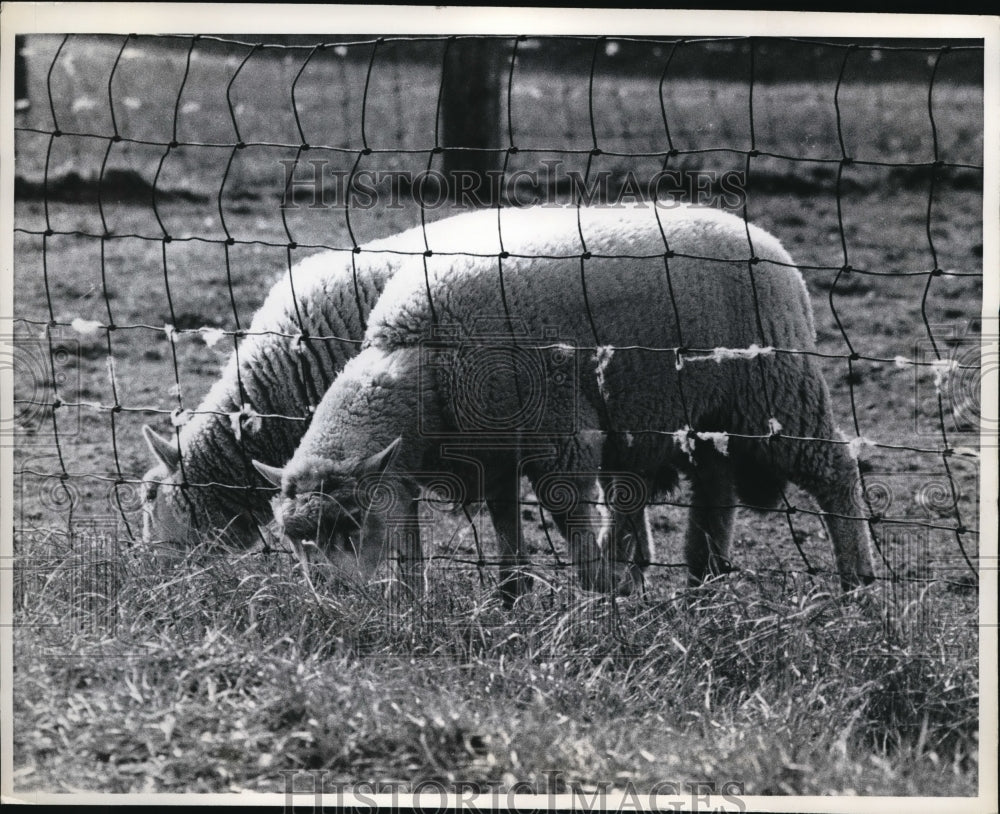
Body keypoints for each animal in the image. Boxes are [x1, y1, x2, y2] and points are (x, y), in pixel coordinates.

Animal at [256, 203, 877, 600]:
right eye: (295, 541)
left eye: (348, 525)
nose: (331, 600)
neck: (424, 357)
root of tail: (761, 237)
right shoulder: (482, 453)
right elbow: (487, 533)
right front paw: (485, 600)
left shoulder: (561, 440)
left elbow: (573, 526)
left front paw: (599, 598)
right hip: (709, 414)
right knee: (714, 487)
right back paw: (704, 581)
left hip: (777, 388)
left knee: (834, 472)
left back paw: (858, 587)